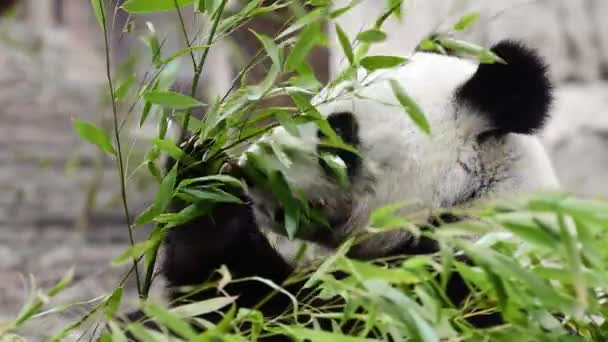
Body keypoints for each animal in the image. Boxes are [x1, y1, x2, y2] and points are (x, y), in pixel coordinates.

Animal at [129, 39, 560, 340]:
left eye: (336, 131)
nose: (252, 168)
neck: (470, 197)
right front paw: (200, 170)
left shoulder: (457, 285)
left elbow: (281, 318)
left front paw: (212, 204)